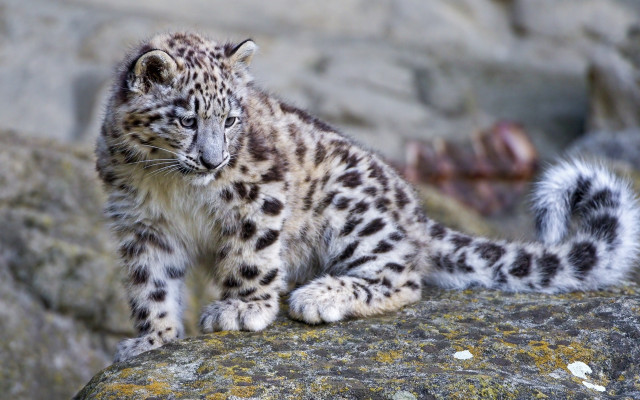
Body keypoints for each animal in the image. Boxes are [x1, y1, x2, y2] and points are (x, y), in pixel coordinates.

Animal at [95, 32, 640, 362]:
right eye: (188, 119)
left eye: (230, 119)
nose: (213, 161)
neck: (174, 186)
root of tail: (415, 212)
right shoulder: (141, 226)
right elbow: (151, 285)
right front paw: (151, 339)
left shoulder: (259, 193)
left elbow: (251, 256)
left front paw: (242, 308)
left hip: (351, 208)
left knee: (402, 278)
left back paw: (319, 295)